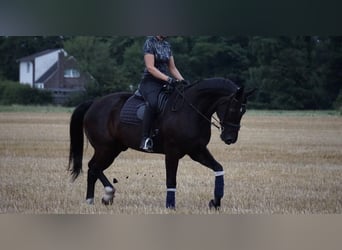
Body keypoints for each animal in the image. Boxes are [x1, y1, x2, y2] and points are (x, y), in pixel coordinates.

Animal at [69, 76, 254, 209]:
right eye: (233, 109)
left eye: (243, 111)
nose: (230, 138)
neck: (191, 110)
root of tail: (95, 103)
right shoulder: (172, 152)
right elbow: (171, 180)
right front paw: (170, 205)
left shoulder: (197, 150)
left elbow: (218, 168)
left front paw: (215, 201)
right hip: (105, 148)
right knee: (93, 167)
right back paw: (103, 195)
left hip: (114, 148)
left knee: (94, 168)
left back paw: (96, 198)